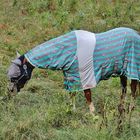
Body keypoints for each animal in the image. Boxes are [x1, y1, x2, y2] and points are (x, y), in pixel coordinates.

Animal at [7, 26, 140, 115]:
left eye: (16, 75)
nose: (10, 92)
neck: (68, 50)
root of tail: (136, 34)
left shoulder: (85, 75)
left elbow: (87, 94)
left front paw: (92, 114)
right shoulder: (71, 76)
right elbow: (72, 93)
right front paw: (71, 110)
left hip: (132, 67)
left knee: (133, 88)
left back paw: (130, 108)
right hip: (123, 71)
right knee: (124, 88)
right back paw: (121, 107)